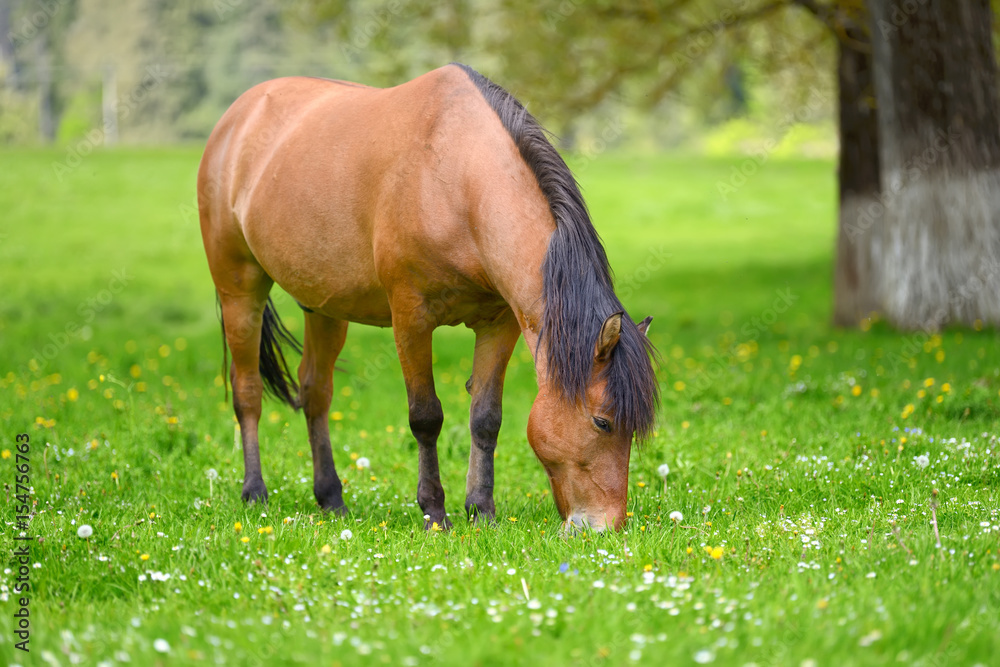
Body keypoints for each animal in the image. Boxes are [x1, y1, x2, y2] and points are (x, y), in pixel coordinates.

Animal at [198, 62, 660, 532]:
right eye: (602, 422)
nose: (605, 525)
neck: (457, 182)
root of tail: (237, 118)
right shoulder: (411, 318)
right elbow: (426, 416)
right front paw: (434, 512)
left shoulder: (499, 324)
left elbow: (486, 418)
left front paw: (481, 510)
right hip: (240, 289)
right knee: (248, 390)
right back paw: (254, 492)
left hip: (324, 307)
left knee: (315, 393)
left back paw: (331, 498)